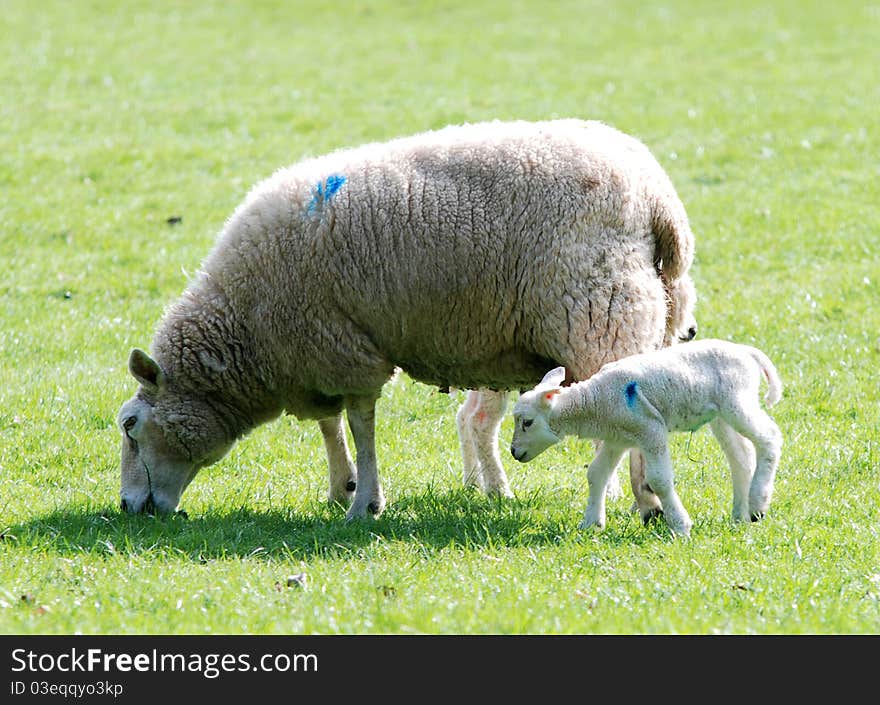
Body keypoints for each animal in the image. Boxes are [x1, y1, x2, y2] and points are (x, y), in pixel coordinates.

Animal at [115, 117, 696, 524]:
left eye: (129, 425)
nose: (125, 507)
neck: (244, 328)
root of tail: (658, 200)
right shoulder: (314, 355)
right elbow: (330, 426)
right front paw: (342, 486)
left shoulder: (339, 347)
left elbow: (359, 423)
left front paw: (365, 503)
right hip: (656, 315)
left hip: (602, 316)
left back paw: (647, 502)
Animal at [508, 338, 784, 536]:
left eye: (527, 422)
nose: (513, 452)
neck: (595, 401)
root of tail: (747, 351)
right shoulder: (617, 438)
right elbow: (596, 473)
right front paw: (591, 523)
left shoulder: (651, 429)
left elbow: (659, 480)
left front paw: (680, 526)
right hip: (720, 415)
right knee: (741, 458)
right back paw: (740, 515)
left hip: (737, 401)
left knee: (770, 437)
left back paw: (758, 503)